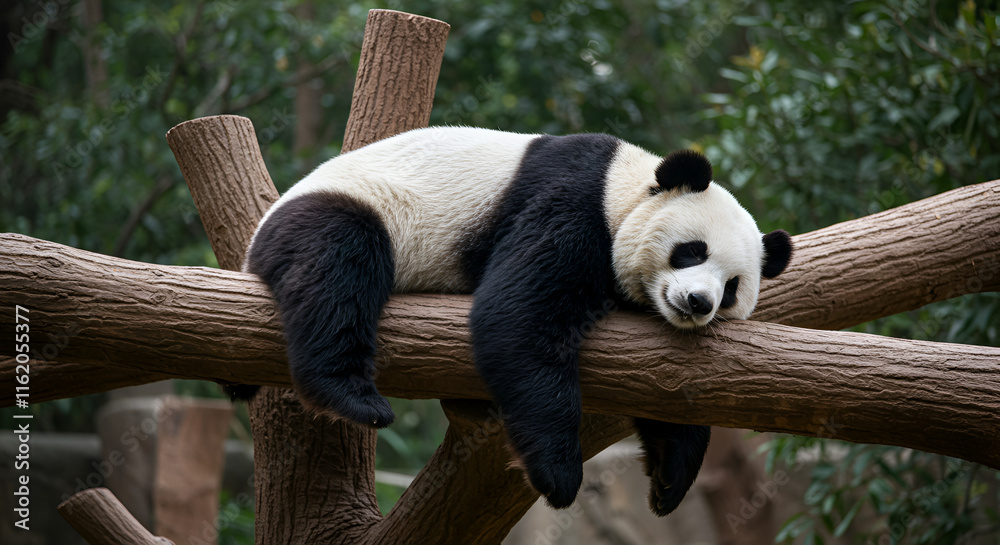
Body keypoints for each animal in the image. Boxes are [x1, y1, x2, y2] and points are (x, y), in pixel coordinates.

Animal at [232, 126, 792, 516]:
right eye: (691, 250)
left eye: (732, 288)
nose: (698, 302)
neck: (626, 185)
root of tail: (252, 247)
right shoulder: (574, 202)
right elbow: (518, 316)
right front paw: (558, 474)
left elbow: (666, 392)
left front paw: (671, 479)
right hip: (343, 209)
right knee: (338, 264)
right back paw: (351, 396)